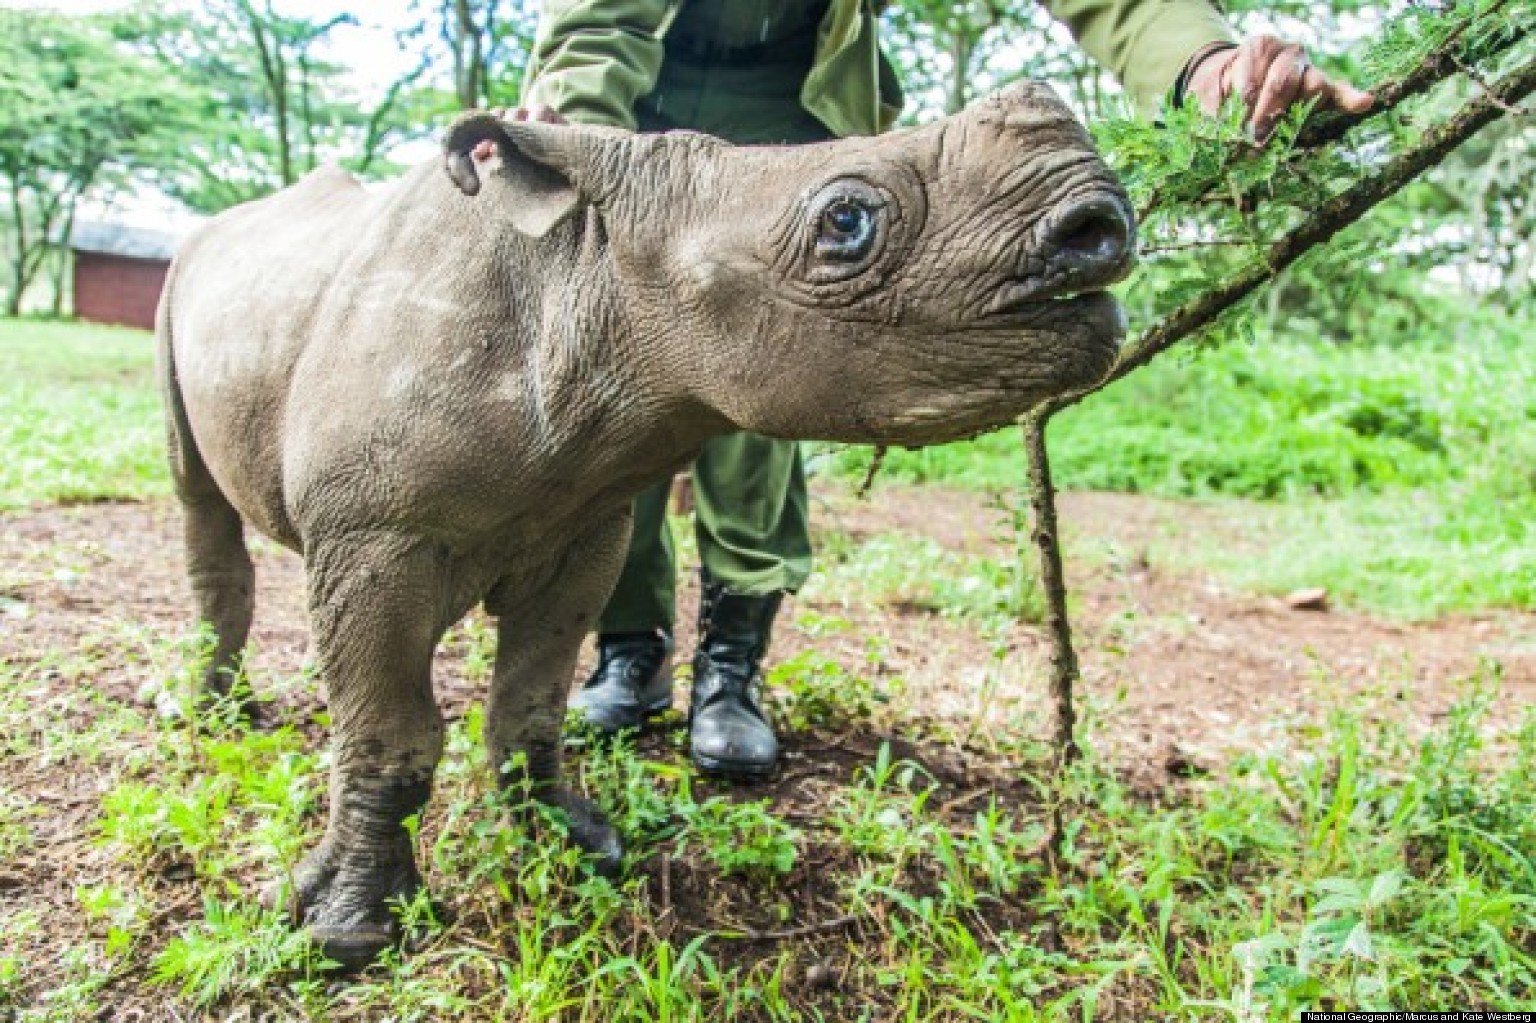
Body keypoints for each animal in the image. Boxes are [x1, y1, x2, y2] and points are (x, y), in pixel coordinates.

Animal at [158, 81, 1130, 964]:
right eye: (847, 221)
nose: (1099, 228)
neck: (587, 281)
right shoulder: (372, 535)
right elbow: (387, 730)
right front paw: (347, 931)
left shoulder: (582, 525)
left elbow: (531, 700)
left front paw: (574, 843)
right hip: (179, 284)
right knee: (196, 495)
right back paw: (212, 711)